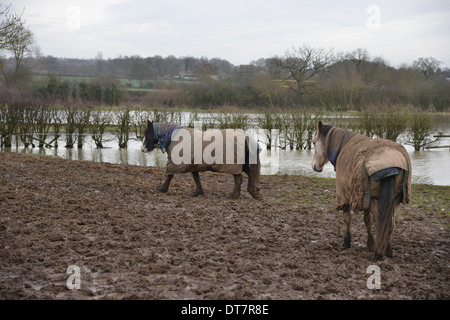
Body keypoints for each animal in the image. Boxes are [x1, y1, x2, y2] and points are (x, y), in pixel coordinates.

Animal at [312, 121, 412, 258]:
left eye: (313, 142)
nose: (314, 166)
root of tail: (391, 163)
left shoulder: (345, 197)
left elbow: (347, 219)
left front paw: (346, 243)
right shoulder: (365, 199)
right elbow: (367, 221)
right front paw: (370, 244)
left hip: (377, 200)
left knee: (380, 223)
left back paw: (378, 254)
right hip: (395, 201)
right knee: (390, 224)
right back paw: (388, 251)